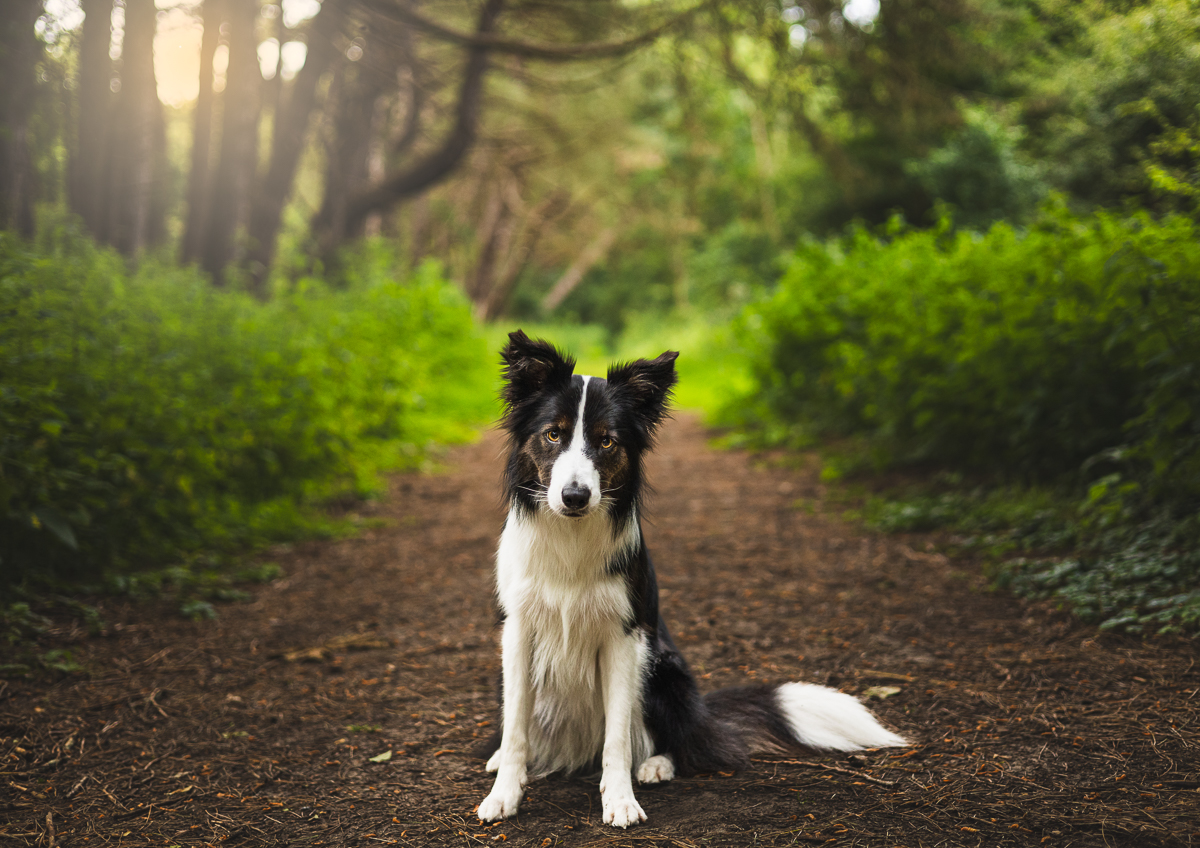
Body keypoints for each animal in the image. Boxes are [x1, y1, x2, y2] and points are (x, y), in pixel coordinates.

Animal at [472, 331, 902, 830]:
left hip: (665, 667)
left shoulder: (626, 638)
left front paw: (621, 800)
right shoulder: (518, 632)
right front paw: (504, 793)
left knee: (675, 742)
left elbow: (617, 736)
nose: (575, 496)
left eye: (606, 442)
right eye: (553, 434)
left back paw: (656, 765)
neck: (571, 537)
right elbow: (516, 728)